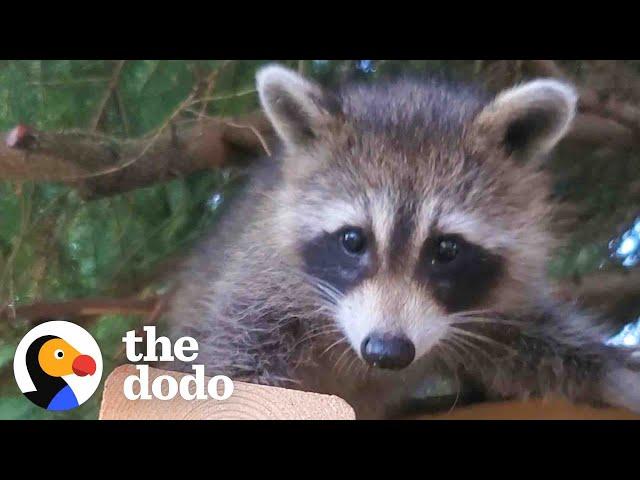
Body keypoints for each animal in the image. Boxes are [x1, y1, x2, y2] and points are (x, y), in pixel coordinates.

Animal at [166, 64, 640, 420]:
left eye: (447, 250)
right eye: (352, 240)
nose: (387, 351)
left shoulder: (492, 299)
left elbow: (535, 339)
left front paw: (611, 371)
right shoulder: (262, 288)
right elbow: (237, 365)